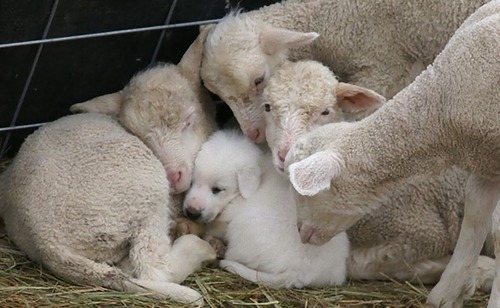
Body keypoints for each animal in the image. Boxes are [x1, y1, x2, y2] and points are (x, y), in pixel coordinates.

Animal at [0, 25, 219, 306]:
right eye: (140, 135)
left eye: (189, 120)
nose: (174, 176)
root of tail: (47, 243)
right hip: (142, 190)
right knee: (153, 270)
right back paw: (199, 248)